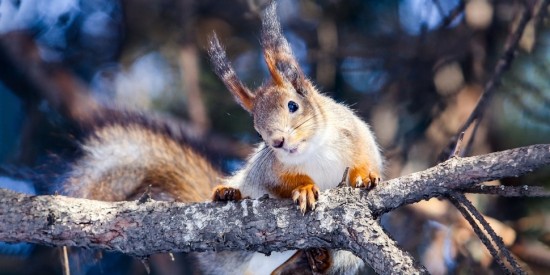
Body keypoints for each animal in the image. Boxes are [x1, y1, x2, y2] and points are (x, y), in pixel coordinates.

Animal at [206, 2, 384, 275]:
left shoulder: (356, 134)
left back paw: (314, 257)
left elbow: (366, 159)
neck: (315, 150)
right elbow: (278, 184)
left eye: (293, 105)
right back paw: (228, 194)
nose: (277, 142)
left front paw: (364, 176)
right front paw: (305, 188)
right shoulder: (267, 171)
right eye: (258, 131)